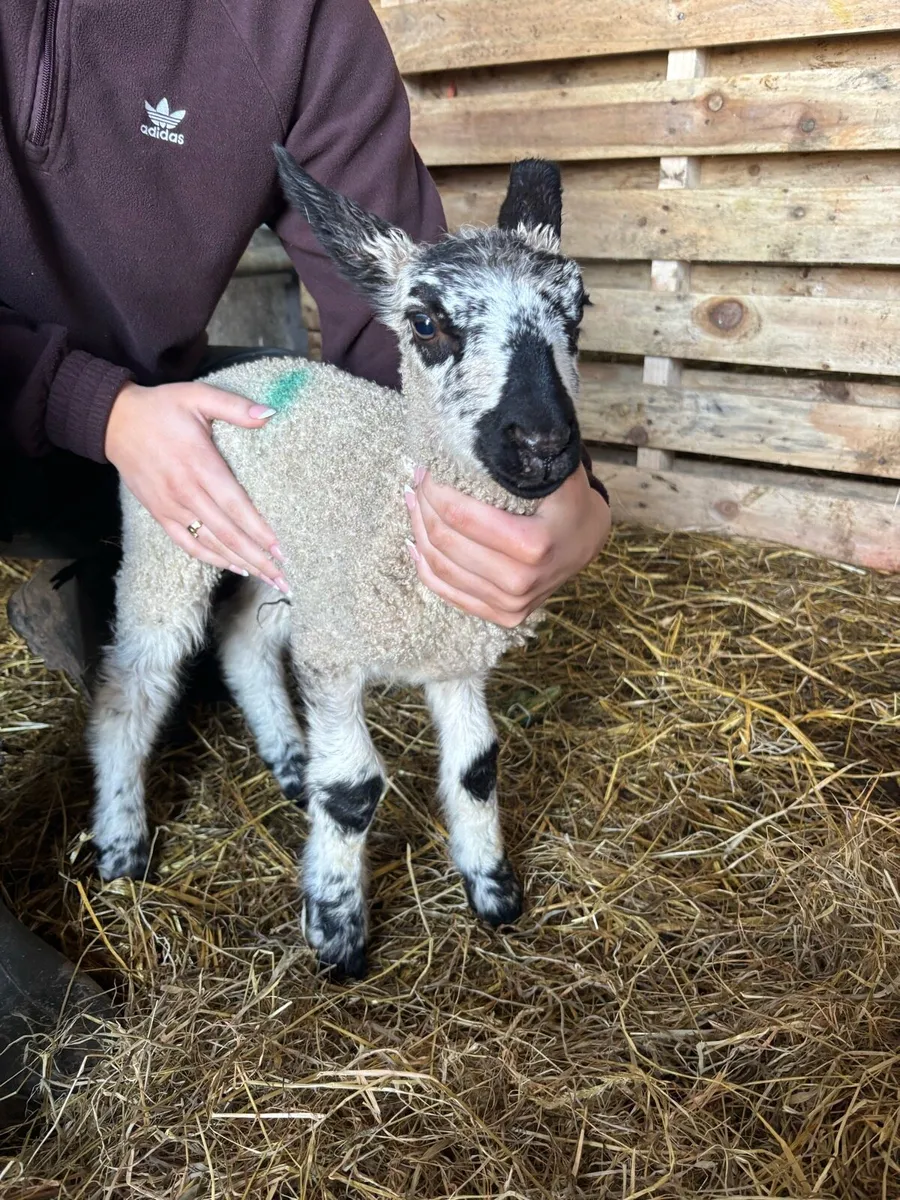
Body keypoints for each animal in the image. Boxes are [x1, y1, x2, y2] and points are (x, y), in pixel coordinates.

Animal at [88, 149, 593, 979]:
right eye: (425, 322)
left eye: (578, 312)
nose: (542, 444)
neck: (398, 510)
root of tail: (226, 376)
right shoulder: (335, 655)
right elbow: (354, 790)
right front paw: (336, 929)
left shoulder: (455, 655)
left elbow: (476, 767)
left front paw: (493, 889)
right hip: (168, 544)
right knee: (131, 689)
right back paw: (123, 845)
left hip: (285, 559)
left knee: (241, 641)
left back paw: (292, 764)